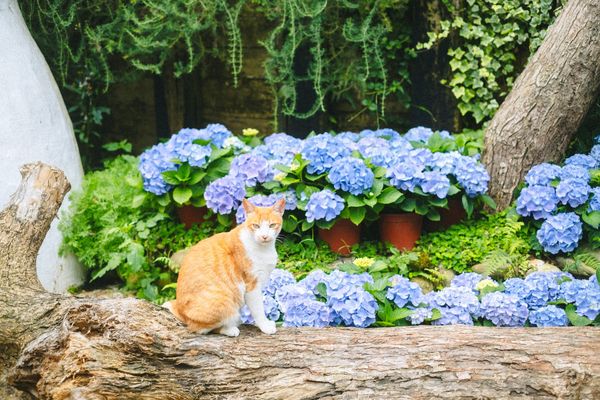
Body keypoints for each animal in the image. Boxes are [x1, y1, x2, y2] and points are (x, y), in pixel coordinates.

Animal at [163, 198, 284, 336]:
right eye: (256, 226)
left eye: (272, 225)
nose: (264, 236)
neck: (263, 249)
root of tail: (180, 309)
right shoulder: (251, 286)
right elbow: (258, 309)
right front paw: (265, 326)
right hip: (224, 301)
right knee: (199, 328)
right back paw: (230, 329)